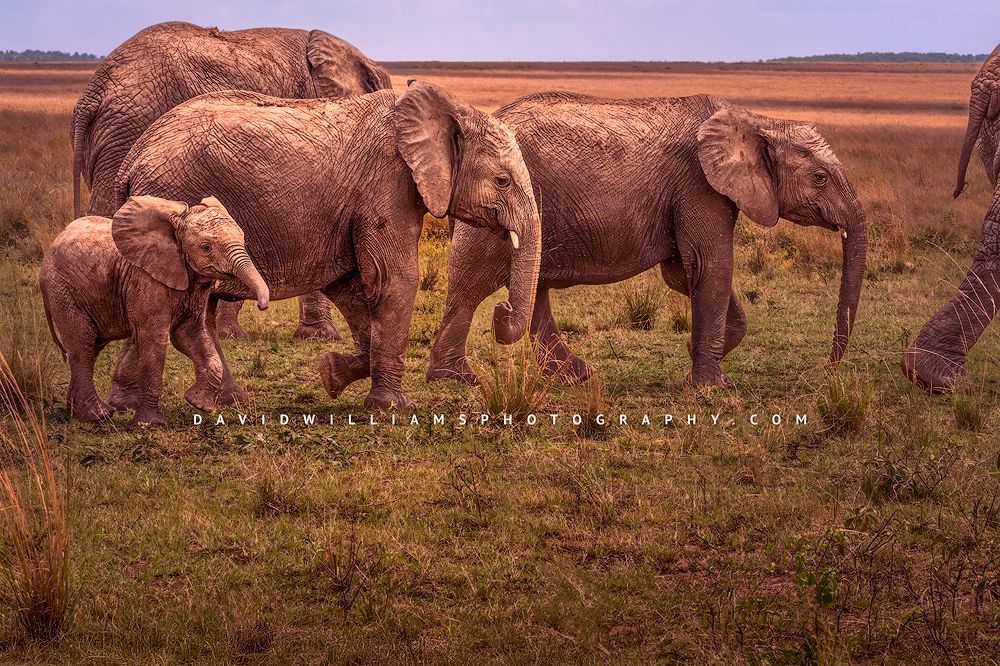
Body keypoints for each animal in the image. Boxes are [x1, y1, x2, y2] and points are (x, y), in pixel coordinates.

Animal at [40, 195, 270, 425]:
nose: (262, 305)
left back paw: (79, 414)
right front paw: (151, 423)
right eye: (205, 247)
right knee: (83, 345)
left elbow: (190, 335)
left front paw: (199, 403)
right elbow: (155, 340)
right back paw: (98, 415)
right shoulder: (146, 279)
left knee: (91, 348)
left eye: (242, 239)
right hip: (62, 291)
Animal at [112, 81, 541, 410]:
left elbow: (352, 286)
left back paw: (205, 402)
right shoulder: (386, 185)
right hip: (175, 194)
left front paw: (332, 374)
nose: (502, 313)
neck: (450, 111)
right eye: (503, 181)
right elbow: (394, 280)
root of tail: (131, 160)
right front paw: (394, 407)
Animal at [428, 93, 868, 387]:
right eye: (820, 178)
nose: (827, 368)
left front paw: (697, 356)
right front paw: (713, 387)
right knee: (473, 283)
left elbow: (686, 274)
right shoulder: (699, 185)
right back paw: (455, 378)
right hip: (494, 200)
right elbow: (711, 265)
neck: (757, 121)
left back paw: (576, 377)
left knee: (532, 287)